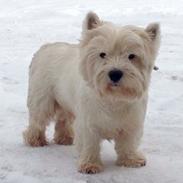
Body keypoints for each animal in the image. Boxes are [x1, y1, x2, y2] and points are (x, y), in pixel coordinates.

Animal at [22, 11, 160, 174]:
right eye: (102, 54)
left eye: (132, 56)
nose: (115, 73)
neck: (113, 98)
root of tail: (45, 47)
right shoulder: (88, 122)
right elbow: (90, 144)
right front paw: (90, 165)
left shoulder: (131, 122)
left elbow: (128, 143)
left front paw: (130, 160)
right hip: (43, 98)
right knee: (38, 120)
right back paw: (35, 140)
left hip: (66, 100)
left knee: (63, 119)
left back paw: (65, 138)